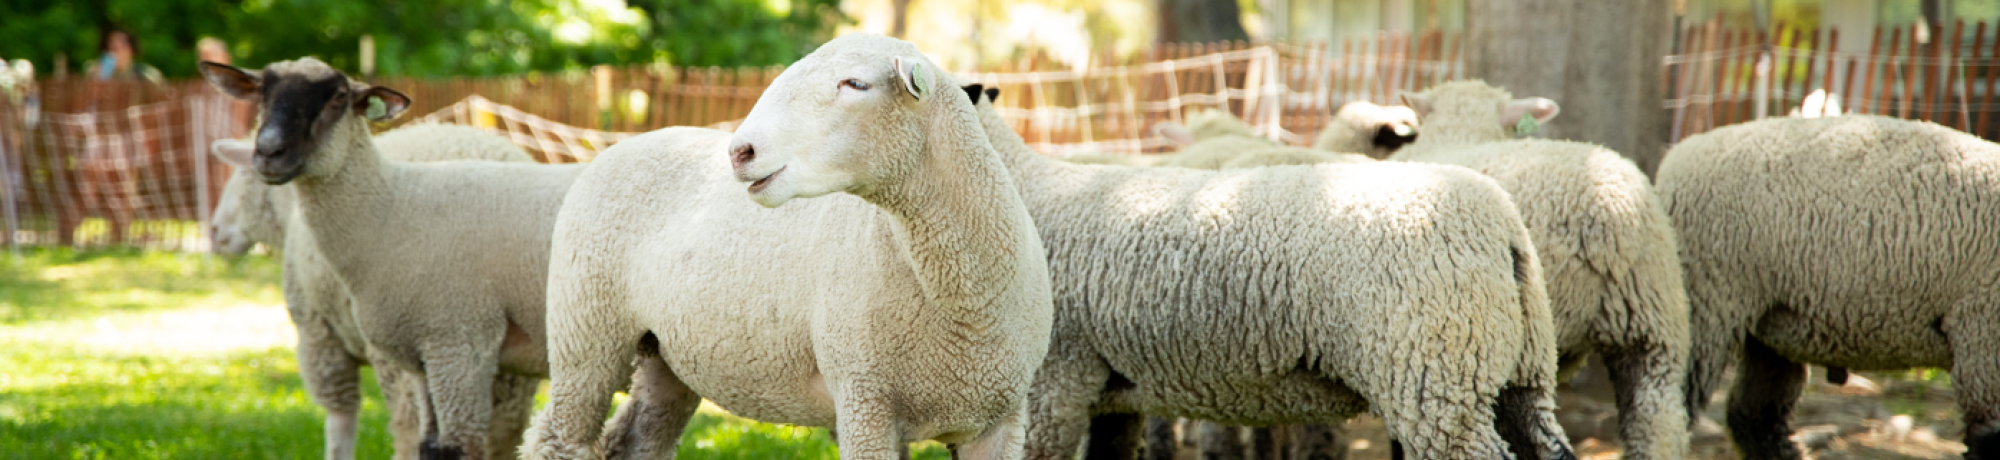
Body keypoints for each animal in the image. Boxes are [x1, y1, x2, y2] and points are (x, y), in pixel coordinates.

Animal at [199, 58, 588, 460]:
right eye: (262, 92)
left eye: (339, 97)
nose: (269, 153)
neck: (391, 205)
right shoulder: (423, 356)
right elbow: (430, 444)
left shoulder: (457, 343)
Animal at [520, 35, 1053, 460]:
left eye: (856, 84)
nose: (740, 151)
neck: (965, 306)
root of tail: (626, 143)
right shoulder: (866, 402)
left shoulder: (1000, 420)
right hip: (584, 330)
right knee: (558, 437)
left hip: (665, 353)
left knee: (637, 438)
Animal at [960, 85, 1576, 460]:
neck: (1023, 189)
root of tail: (1502, 226)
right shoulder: (1105, 390)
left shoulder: (1052, 382)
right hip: (1517, 373)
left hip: (1439, 373)